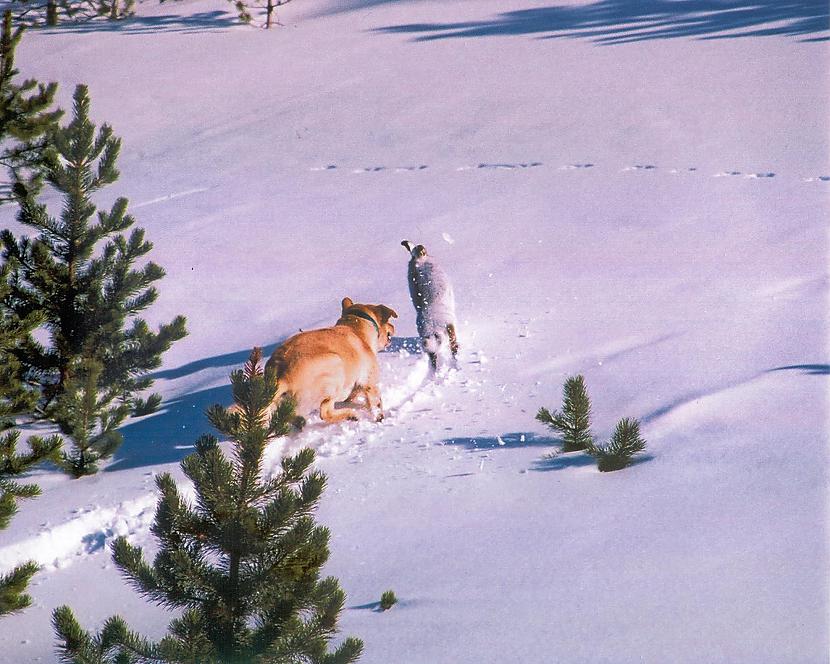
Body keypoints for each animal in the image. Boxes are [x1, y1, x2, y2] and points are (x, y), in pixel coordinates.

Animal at [264, 298, 398, 422]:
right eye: (388, 322)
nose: (393, 327)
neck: (356, 327)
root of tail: (281, 376)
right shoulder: (369, 382)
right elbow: (376, 402)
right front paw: (379, 417)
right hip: (336, 365)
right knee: (325, 412)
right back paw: (350, 415)